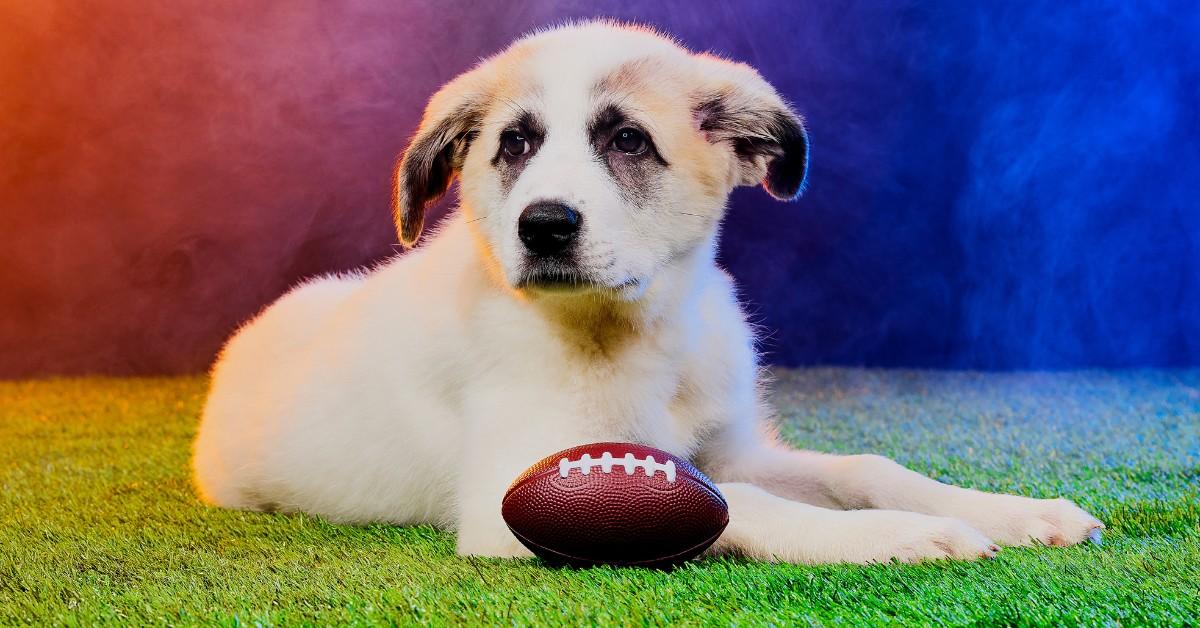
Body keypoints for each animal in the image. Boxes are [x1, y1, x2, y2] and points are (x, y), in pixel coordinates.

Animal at [192, 20, 1099, 564]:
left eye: (627, 140)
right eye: (514, 144)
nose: (544, 226)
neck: (637, 336)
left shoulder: (734, 449)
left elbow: (865, 468)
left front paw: (1012, 512)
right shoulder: (507, 500)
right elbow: (739, 506)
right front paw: (904, 535)